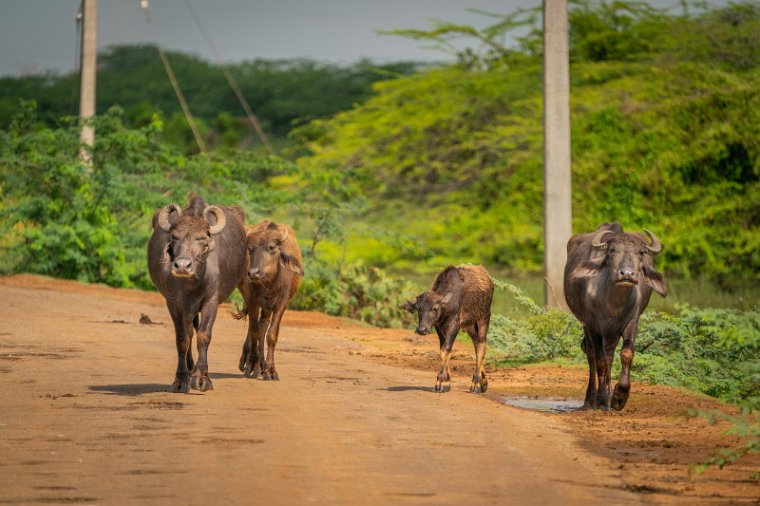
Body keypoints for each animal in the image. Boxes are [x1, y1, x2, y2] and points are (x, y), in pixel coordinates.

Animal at [147, 196, 245, 394]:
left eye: (201, 239)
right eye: (174, 237)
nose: (183, 266)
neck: (192, 284)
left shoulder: (211, 302)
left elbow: (204, 336)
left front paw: (201, 379)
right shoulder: (174, 303)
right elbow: (182, 338)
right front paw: (181, 379)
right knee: (189, 333)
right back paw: (190, 368)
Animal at [235, 219, 302, 382]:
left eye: (271, 247)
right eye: (250, 248)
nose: (253, 273)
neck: (269, 284)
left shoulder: (281, 303)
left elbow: (271, 334)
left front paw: (270, 370)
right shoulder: (252, 300)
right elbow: (254, 331)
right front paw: (252, 364)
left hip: (267, 308)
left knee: (263, 326)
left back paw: (262, 365)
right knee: (257, 327)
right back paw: (253, 363)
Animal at [404, 264, 492, 392]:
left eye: (435, 308)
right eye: (418, 309)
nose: (422, 330)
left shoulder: (455, 324)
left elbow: (446, 349)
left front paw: (442, 382)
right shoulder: (439, 326)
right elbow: (443, 349)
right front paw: (447, 381)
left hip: (484, 318)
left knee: (481, 345)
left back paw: (476, 383)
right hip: (470, 326)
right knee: (476, 344)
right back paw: (483, 382)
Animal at [560, 222, 668, 412]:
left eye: (641, 252)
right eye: (612, 250)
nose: (627, 274)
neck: (613, 305)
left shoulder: (631, 322)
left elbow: (626, 354)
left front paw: (618, 397)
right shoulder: (592, 325)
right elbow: (600, 361)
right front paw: (603, 398)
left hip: (612, 333)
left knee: (610, 354)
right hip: (588, 328)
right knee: (592, 356)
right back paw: (591, 400)